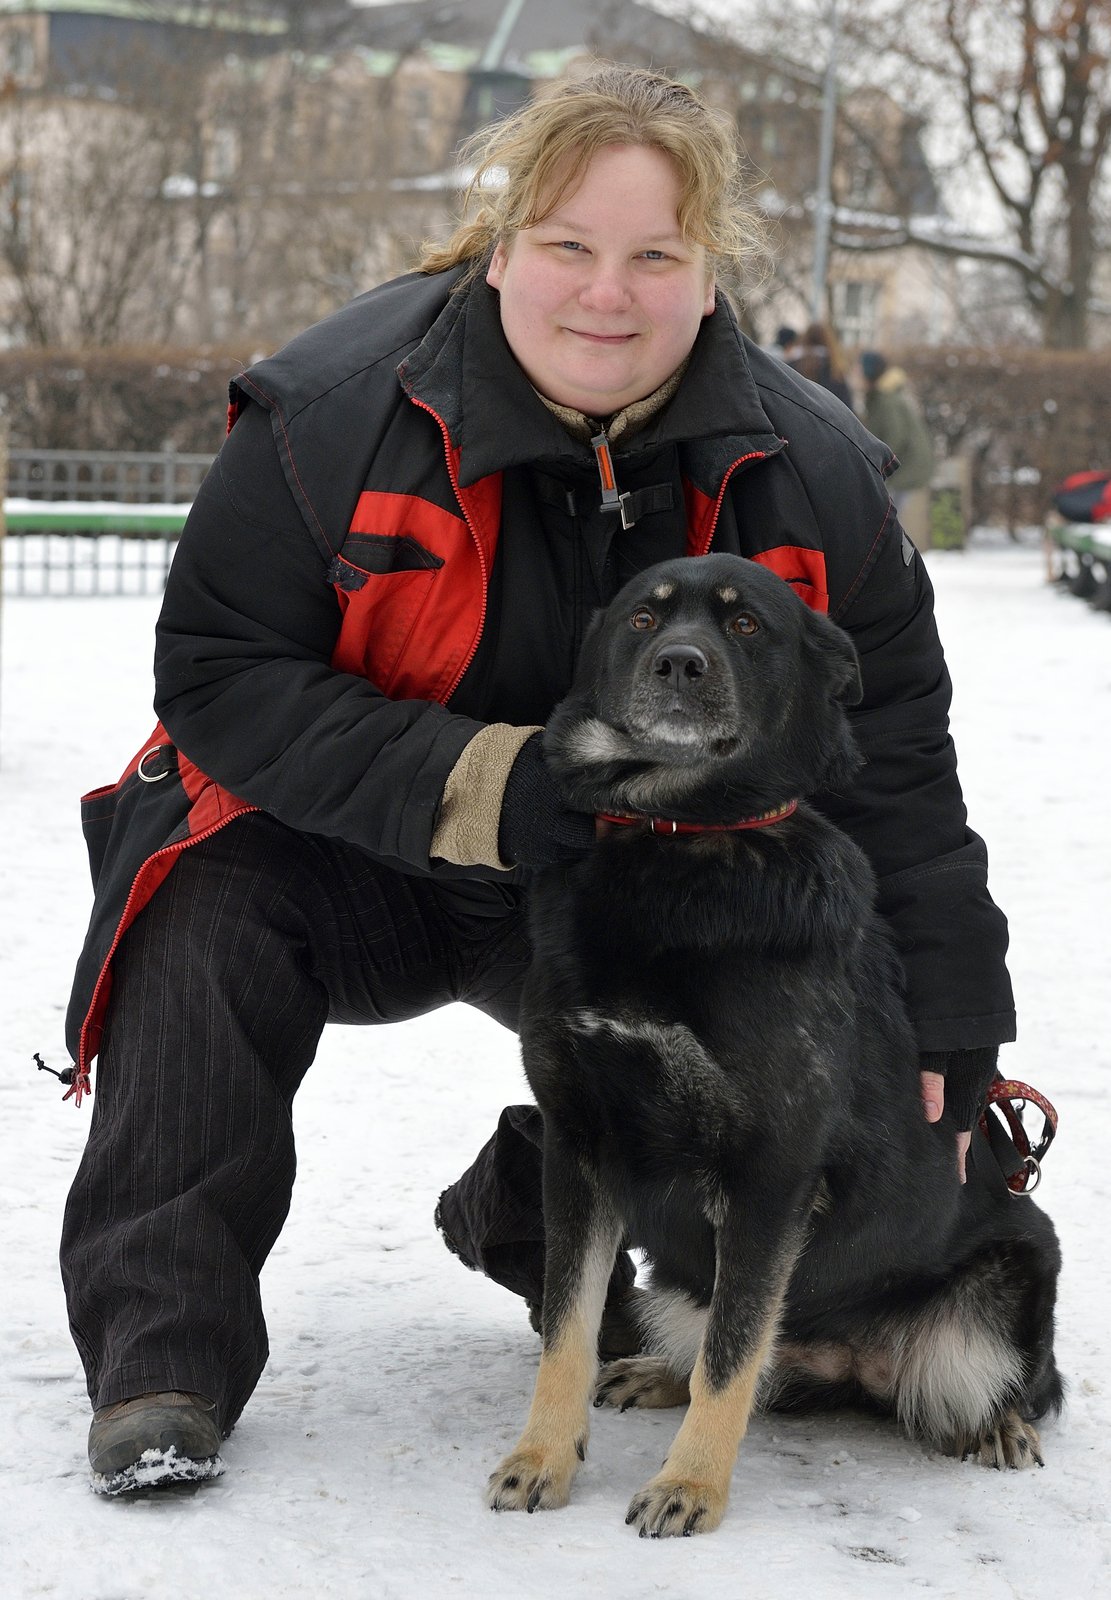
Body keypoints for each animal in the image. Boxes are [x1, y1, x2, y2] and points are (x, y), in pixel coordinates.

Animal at [486, 553, 1062, 1536]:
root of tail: (848, 1364)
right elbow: (569, 1330)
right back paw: (654, 1372)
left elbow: (730, 1361)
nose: (680, 664)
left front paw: (689, 1487)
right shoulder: (577, 1147)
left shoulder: (770, 1175)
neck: (679, 841)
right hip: (678, 1277)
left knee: (994, 1385)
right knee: (727, 1350)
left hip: (1008, 1284)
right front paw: (541, 1459)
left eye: (746, 624)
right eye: (642, 618)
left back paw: (996, 1424)